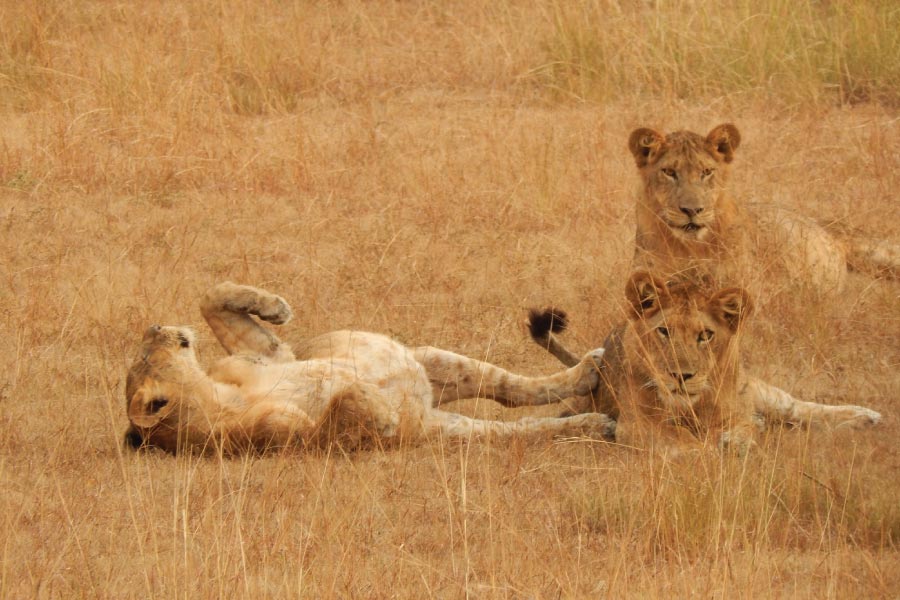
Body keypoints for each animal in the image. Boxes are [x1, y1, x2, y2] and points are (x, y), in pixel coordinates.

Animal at [123, 282, 615, 454]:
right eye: (144, 354)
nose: (154, 326)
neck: (217, 393)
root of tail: (427, 398)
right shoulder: (290, 440)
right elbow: (343, 411)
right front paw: (374, 405)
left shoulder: (271, 356)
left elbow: (212, 298)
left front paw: (274, 306)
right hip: (446, 424)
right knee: (523, 426)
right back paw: (597, 421)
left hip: (432, 359)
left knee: (513, 388)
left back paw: (589, 373)